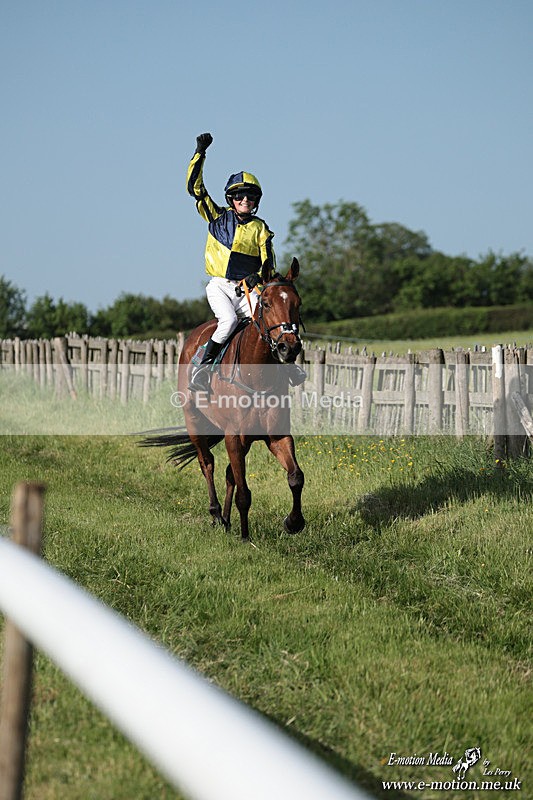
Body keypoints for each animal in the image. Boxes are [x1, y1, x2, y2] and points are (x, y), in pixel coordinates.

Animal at [141, 257, 305, 541]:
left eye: (297, 303)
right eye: (266, 303)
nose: (289, 347)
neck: (256, 376)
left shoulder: (276, 435)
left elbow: (295, 476)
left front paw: (293, 522)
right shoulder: (234, 436)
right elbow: (244, 493)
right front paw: (245, 537)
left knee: (229, 474)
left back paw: (227, 519)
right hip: (194, 421)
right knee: (207, 463)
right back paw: (217, 514)